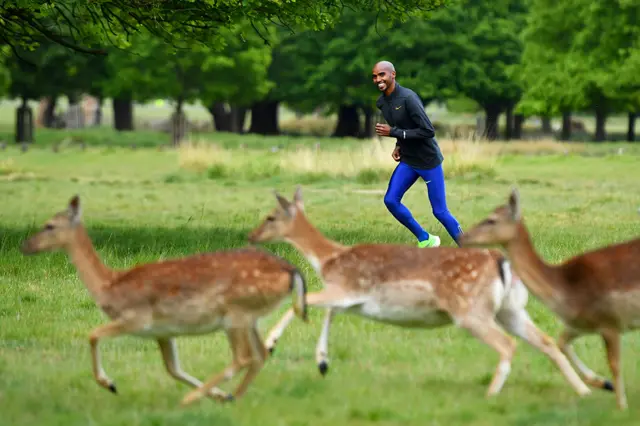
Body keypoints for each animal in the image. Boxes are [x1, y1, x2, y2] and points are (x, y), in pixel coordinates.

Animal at [20, 195, 308, 407]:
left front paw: (110, 384)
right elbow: (173, 369)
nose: (25, 245)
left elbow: (92, 334)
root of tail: (292, 272)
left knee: (244, 357)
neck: (109, 286)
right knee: (260, 354)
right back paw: (231, 396)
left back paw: (194, 399)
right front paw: (217, 395)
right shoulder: (163, 332)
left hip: (236, 313)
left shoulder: (137, 319)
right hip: (249, 318)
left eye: (49, 225)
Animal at [247, 186, 592, 399]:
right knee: (546, 341)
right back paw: (586, 390)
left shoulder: (347, 288)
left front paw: (271, 345)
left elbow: (303, 303)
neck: (330, 260)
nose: (251, 236)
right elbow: (328, 312)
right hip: (512, 309)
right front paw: (321, 363)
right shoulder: (347, 297)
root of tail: (502, 263)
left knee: (507, 345)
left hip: (470, 310)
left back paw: (490, 396)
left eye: (270, 216)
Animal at [458, 187, 640, 410]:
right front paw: (602, 383)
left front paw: (621, 407)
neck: (566, 289)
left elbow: (615, 365)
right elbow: (561, 342)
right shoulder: (581, 323)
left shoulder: (610, 321)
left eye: (491, 219)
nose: (463, 236)